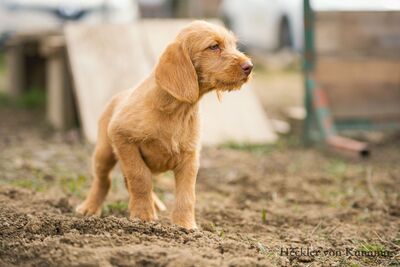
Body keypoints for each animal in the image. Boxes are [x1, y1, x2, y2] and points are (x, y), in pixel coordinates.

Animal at [76, 21, 253, 230]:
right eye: (214, 46)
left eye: (234, 45)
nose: (250, 66)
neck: (177, 110)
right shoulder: (122, 137)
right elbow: (140, 177)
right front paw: (142, 215)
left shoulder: (190, 157)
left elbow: (187, 194)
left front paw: (185, 225)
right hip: (104, 152)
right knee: (104, 179)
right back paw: (89, 208)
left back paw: (155, 203)